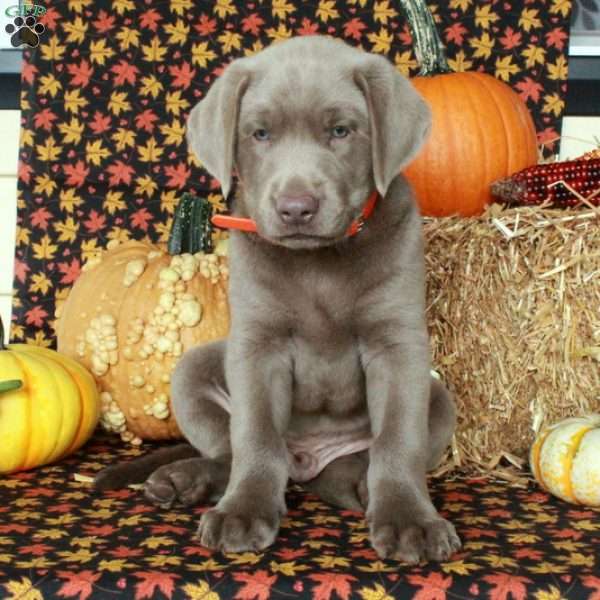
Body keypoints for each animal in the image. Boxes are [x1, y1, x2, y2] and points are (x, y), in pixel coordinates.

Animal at [98, 36, 462, 564]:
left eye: (340, 131)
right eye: (260, 134)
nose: (296, 209)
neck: (318, 261)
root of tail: (307, 460)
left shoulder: (398, 345)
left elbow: (398, 438)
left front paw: (409, 519)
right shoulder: (257, 344)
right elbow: (254, 436)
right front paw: (243, 512)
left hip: (440, 399)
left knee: (355, 465)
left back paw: (362, 488)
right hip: (192, 369)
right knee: (228, 453)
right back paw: (186, 479)